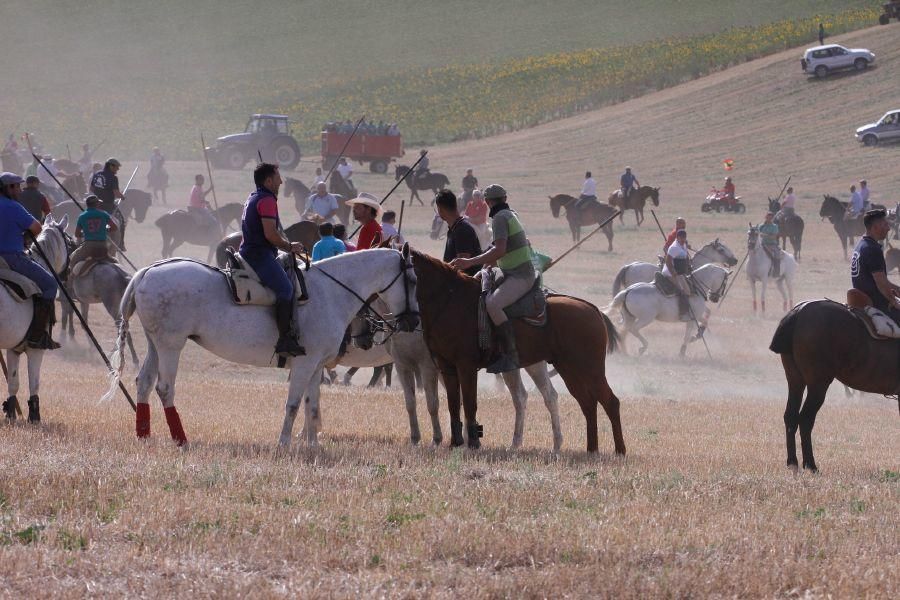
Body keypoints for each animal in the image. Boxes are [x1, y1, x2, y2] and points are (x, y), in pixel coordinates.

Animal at [0, 216, 70, 422]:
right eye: (69, 242)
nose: (68, 274)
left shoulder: (13, 349)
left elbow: (13, 382)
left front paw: (11, 413)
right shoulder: (35, 350)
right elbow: (34, 383)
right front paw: (34, 416)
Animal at [103, 244, 420, 446]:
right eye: (413, 279)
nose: (413, 320)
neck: (331, 292)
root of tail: (146, 272)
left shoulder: (316, 366)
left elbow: (312, 405)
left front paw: (313, 445)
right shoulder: (304, 363)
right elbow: (293, 404)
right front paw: (283, 443)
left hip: (156, 344)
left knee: (144, 382)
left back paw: (143, 435)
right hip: (172, 346)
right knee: (164, 387)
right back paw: (180, 439)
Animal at [412, 251, 624, 452]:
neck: (450, 300)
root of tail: (593, 309)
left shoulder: (466, 366)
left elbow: (469, 403)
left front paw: (472, 443)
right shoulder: (446, 365)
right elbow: (454, 404)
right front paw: (455, 443)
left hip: (590, 370)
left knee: (609, 402)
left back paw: (619, 450)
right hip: (568, 370)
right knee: (586, 403)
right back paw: (590, 449)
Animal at [768, 300, 900, 474]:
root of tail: (800, 310)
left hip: (795, 380)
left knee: (791, 415)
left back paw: (793, 463)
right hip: (818, 384)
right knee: (806, 418)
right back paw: (810, 465)